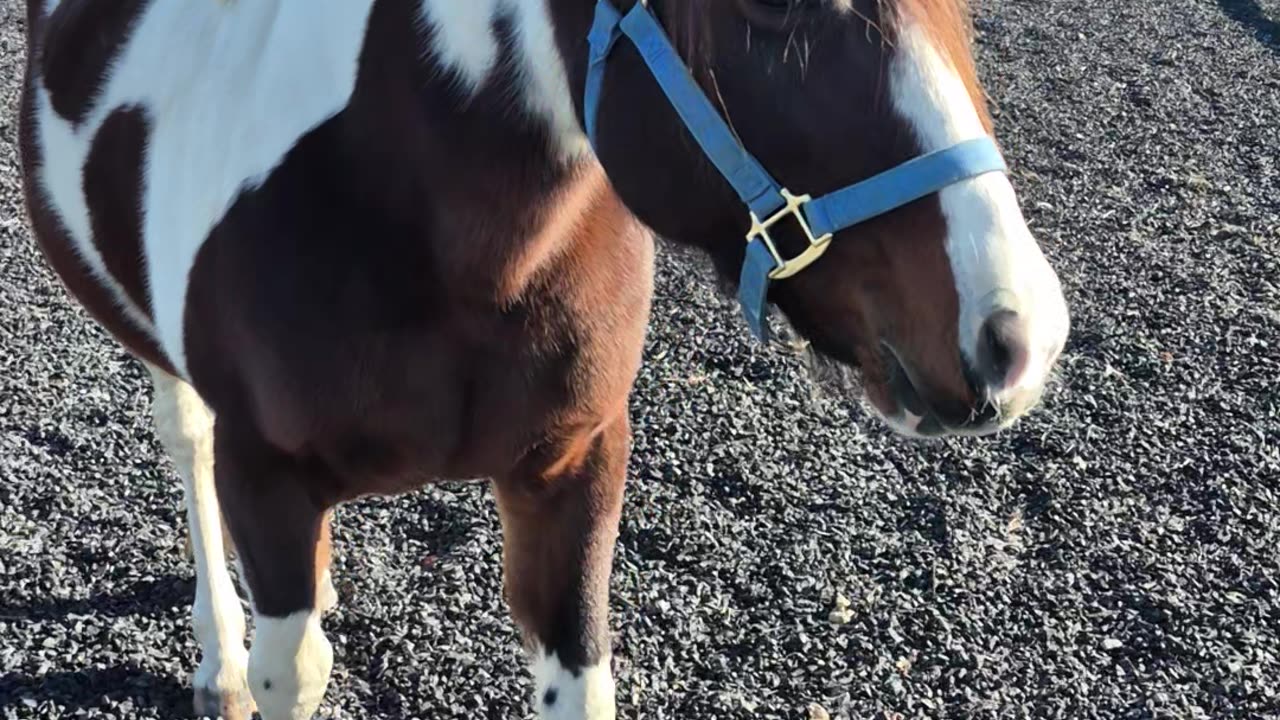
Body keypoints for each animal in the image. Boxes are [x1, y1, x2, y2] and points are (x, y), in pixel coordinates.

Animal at [17, 0, 1070, 718]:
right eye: (777, 4)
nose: (1019, 335)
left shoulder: (575, 466)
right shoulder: (265, 475)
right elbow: (295, 664)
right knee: (186, 442)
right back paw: (221, 661)